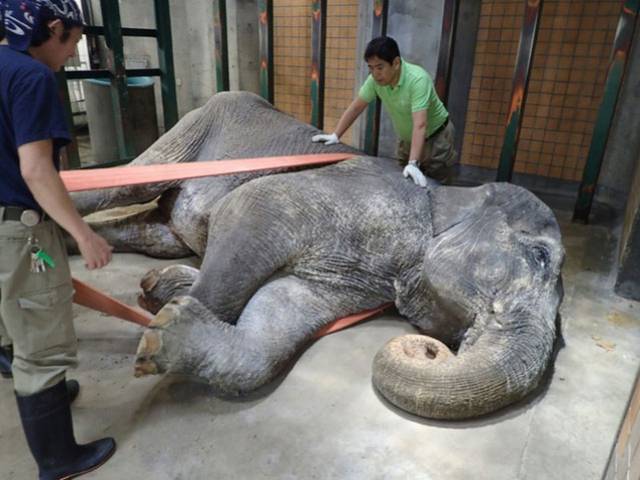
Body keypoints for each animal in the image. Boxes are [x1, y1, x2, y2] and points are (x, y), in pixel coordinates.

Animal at [74, 91, 564, 420]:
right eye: (541, 257)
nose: (432, 349)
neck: (440, 198)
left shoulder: (354, 281)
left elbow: (279, 313)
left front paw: (167, 318)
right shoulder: (340, 200)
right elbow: (250, 205)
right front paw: (160, 317)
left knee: (157, 231)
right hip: (193, 131)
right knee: (123, 186)